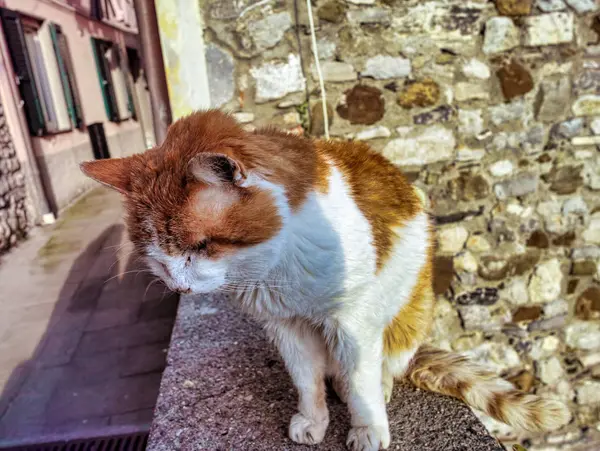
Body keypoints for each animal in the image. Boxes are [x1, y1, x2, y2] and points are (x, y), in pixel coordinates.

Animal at [82, 110, 568, 451]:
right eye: (156, 257)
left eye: (201, 246)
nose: (180, 288)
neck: (271, 269)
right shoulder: (285, 326)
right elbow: (306, 381)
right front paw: (314, 421)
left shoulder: (352, 323)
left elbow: (361, 382)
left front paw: (367, 427)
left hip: (408, 315)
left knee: (385, 364)